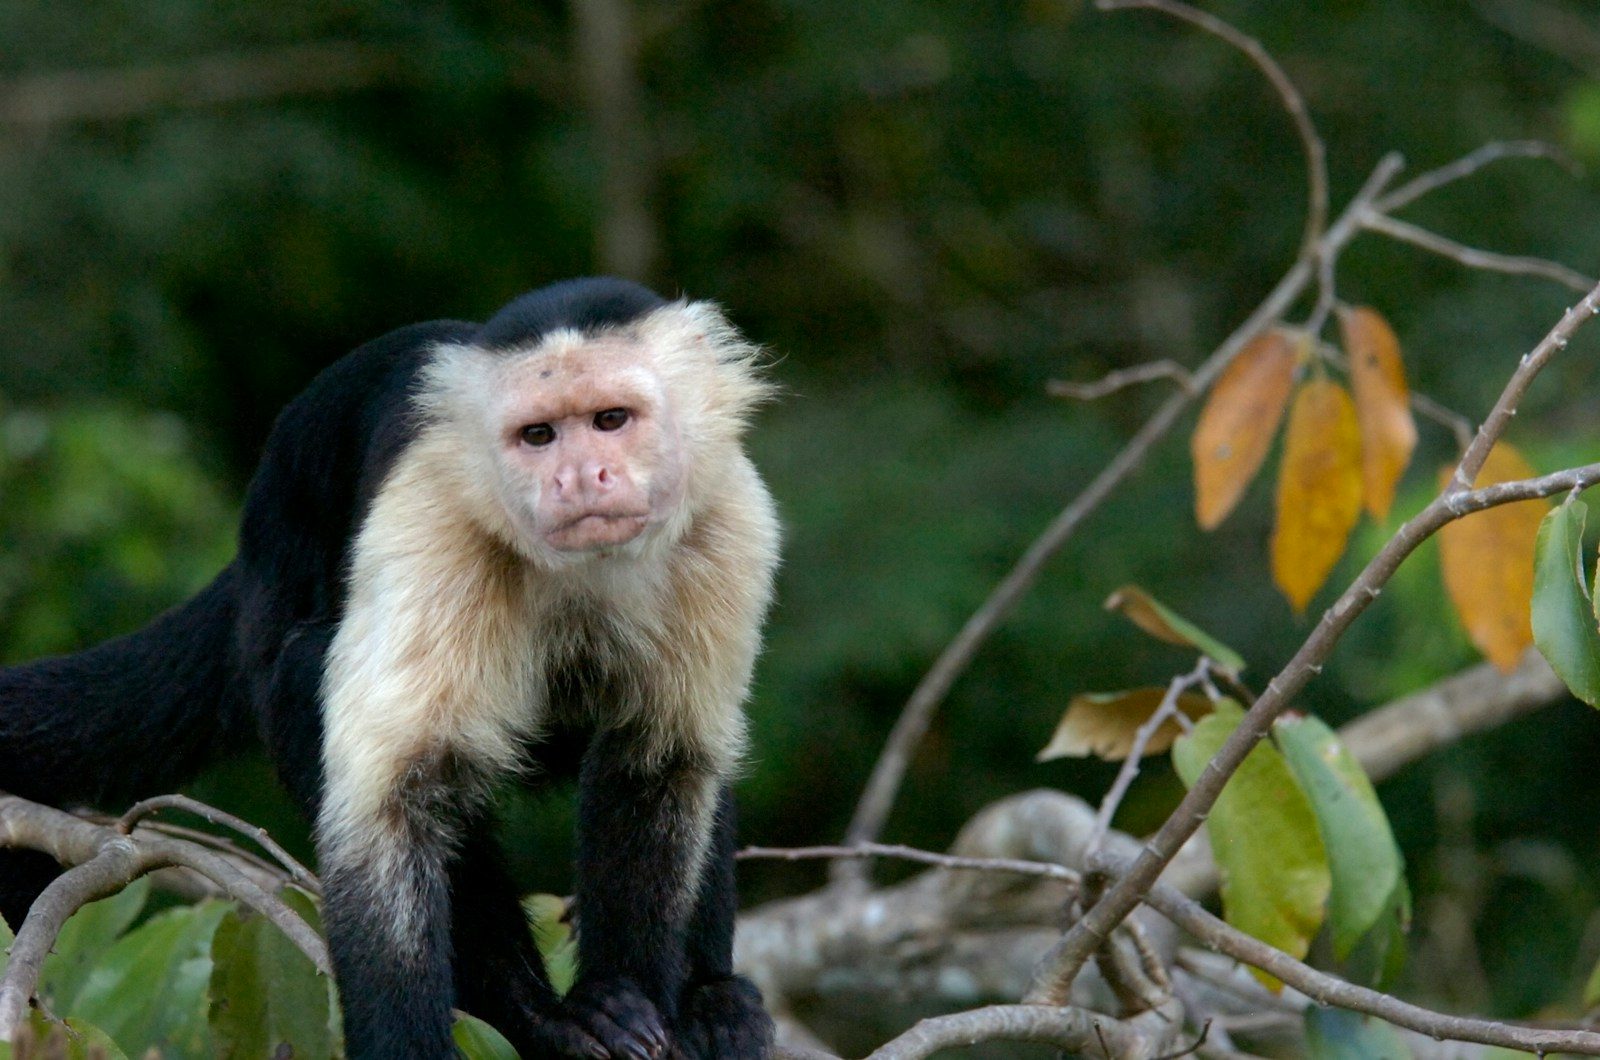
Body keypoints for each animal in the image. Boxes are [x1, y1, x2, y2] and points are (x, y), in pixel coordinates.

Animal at [0, 277, 781, 1060]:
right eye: (538, 436)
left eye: (611, 420)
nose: (578, 478)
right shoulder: (434, 522)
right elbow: (395, 806)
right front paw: (559, 1019)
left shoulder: (730, 517)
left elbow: (660, 763)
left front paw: (631, 997)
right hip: (272, 600)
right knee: (309, 678)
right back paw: (536, 1019)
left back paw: (712, 998)